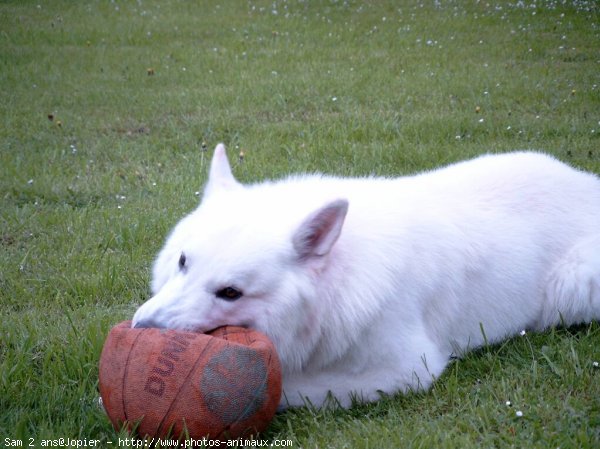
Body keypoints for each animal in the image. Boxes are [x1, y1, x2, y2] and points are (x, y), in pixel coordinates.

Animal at [134, 145, 600, 408]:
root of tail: (586, 182)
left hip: (573, 288)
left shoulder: (406, 368)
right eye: (183, 262)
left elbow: (283, 387)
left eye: (230, 292)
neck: (337, 276)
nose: (141, 330)